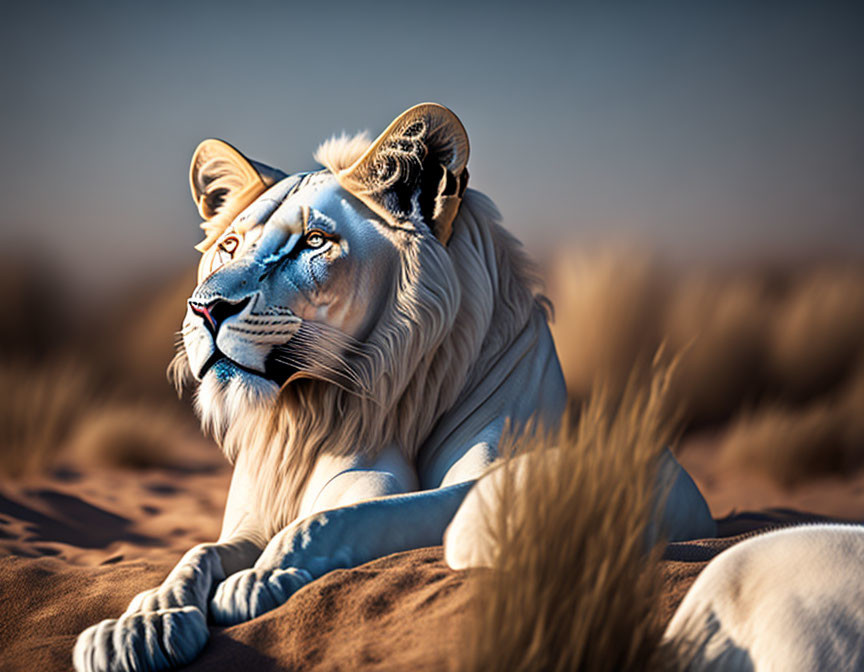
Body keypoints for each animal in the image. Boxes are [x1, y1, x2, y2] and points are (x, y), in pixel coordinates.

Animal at [74, 105, 712, 672]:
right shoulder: (250, 518)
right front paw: (138, 627)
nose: (205, 308)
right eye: (228, 247)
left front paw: (260, 577)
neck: (308, 413)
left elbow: (345, 518)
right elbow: (196, 553)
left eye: (313, 242)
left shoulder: (436, 482)